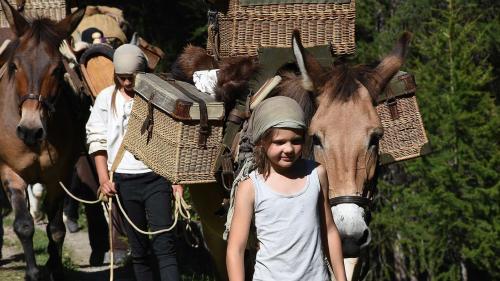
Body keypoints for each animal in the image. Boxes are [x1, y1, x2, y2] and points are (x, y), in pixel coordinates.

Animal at [0, 1, 84, 278]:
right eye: (15, 66)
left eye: (57, 70)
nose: (30, 130)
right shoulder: (10, 171)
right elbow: (23, 225)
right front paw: (33, 272)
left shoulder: (60, 176)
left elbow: (56, 229)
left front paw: (54, 268)